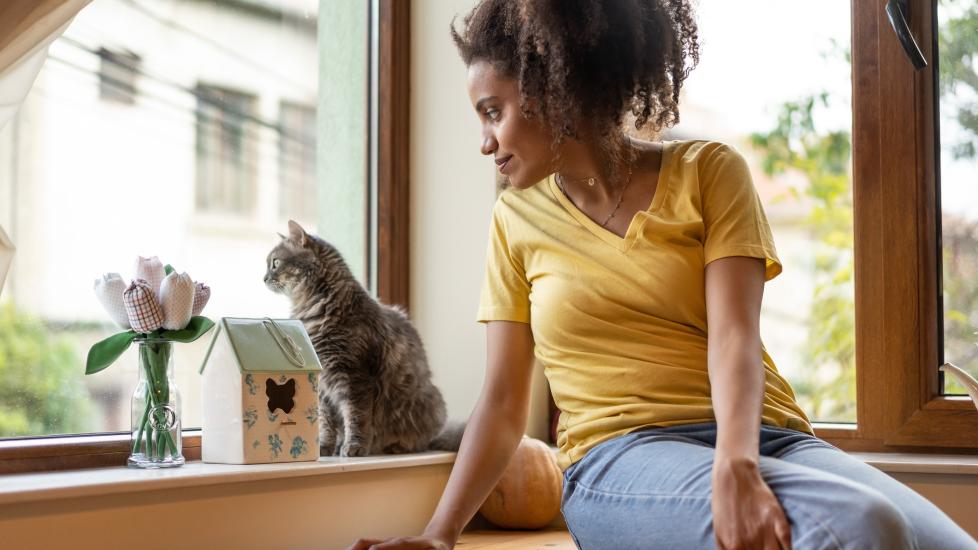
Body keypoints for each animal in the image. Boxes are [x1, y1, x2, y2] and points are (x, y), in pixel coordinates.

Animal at [262, 222, 464, 460]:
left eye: (275, 263)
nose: (264, 278)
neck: (316, 308)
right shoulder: (324, 386)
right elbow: (326, 423)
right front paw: (325, 447)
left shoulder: (354, 377)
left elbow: (356, 417)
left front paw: (354, 447)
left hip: (429, 403)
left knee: (420, 440)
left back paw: (397, 446)